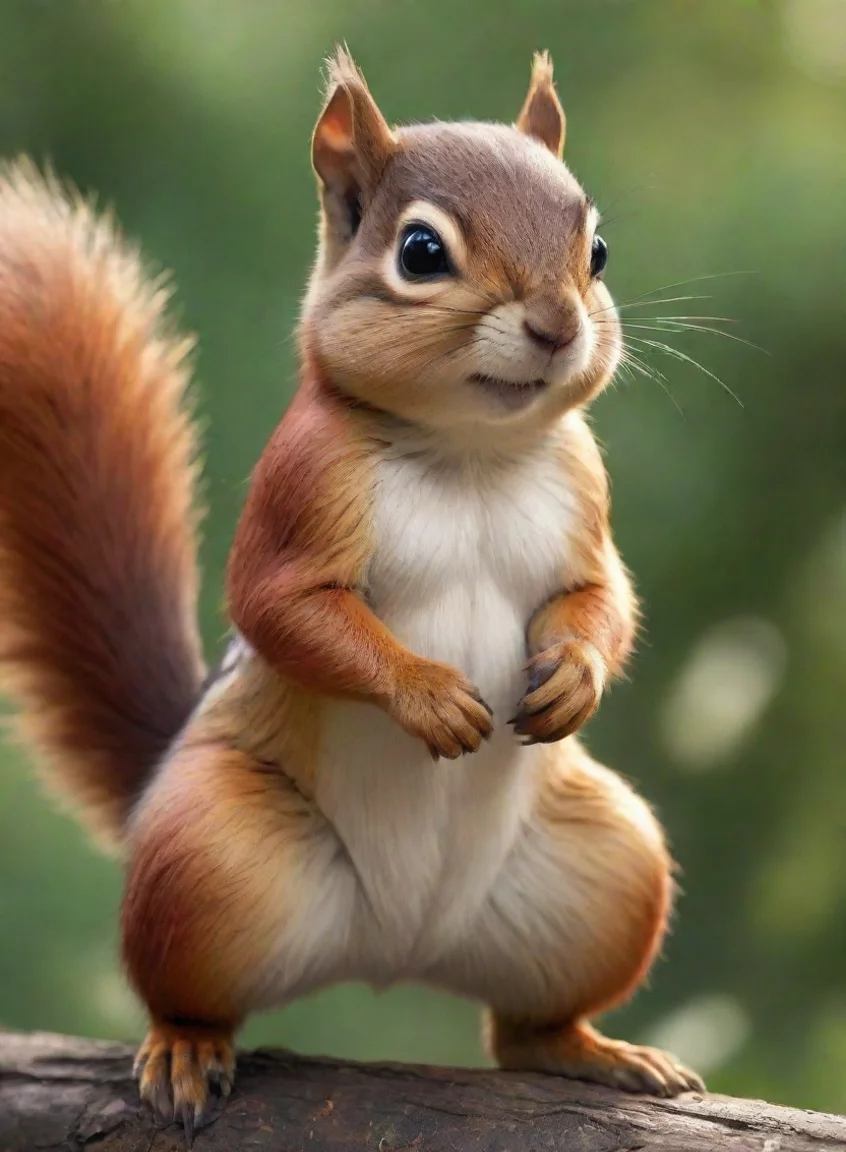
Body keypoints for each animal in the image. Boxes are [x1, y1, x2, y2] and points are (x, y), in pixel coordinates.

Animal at [0, 49, 704, 1135]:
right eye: (420, 252)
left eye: (598, 250)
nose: (555, 326)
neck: (466, 454)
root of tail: (395, 949)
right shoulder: (301, 490)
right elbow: (288, 611)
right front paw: (430, 695)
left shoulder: (585, 499)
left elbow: (603, 599)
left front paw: (575, 673)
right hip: (207, 855)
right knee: (185, 989)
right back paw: (186, 1046)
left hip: (609, 871)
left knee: (523, 1031)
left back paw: (594, 1050)